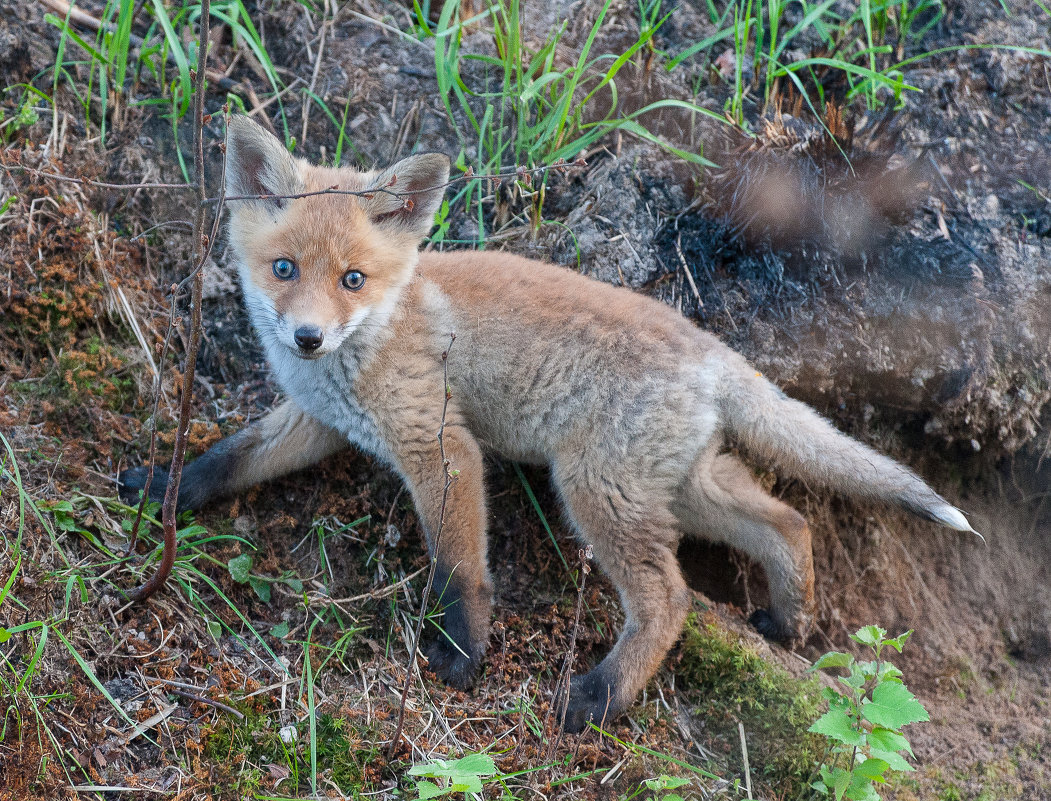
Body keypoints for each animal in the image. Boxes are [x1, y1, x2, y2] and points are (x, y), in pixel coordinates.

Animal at [120, 112, 975, 731]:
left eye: (352, 279)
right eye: (284, 269)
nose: (306, 336)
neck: (370, 340)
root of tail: (713, 352)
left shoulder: (440, 445)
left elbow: (459, 566)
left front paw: (462, 654)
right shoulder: (319, 420)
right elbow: (228, 457)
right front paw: (162, 488)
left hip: (596, 489)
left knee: (669, 598)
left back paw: (599, 698)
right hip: (677, 485)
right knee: (786, 520)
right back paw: (785, 619)